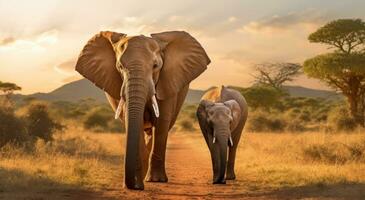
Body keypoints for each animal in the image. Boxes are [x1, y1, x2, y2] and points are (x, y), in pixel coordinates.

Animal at [74, 30, 210, 190]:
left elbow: (161, 121)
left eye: (155, 66)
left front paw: (156, 180)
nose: (132, 186)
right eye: (120, 67)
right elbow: (132, 119)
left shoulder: (167, 82)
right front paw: (137, 183)